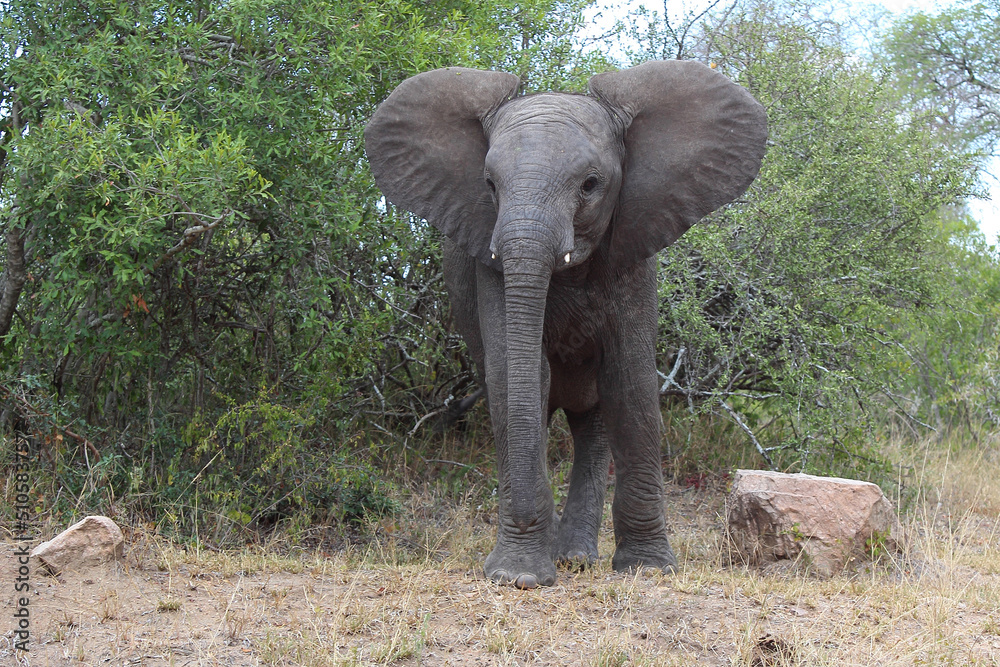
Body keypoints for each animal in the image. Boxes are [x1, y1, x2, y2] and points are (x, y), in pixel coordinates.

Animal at [364, 60, 767, 588]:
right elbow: (516, 380)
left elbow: (630, 386)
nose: (519, 574)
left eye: (590, 184)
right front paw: (519, 575)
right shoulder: (488, 262)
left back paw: (576, 557)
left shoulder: (633, 254)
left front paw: (648, 569)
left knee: (593, 424)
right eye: (489, 186)